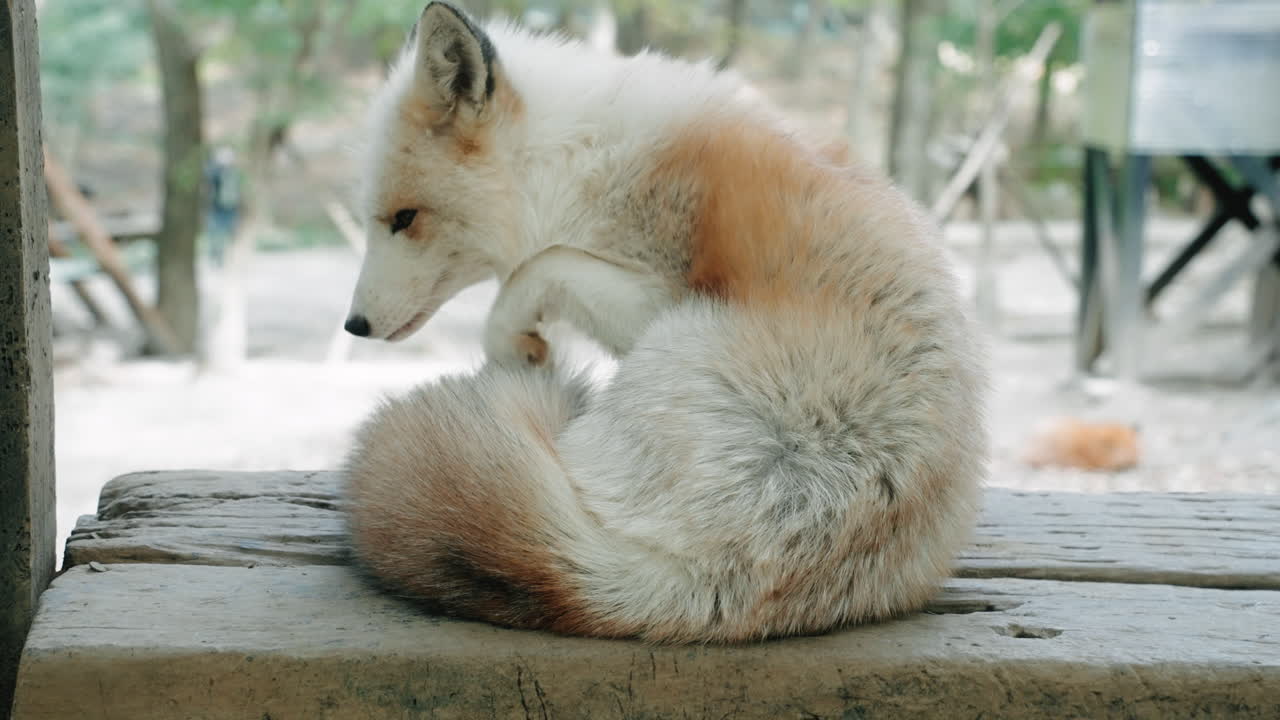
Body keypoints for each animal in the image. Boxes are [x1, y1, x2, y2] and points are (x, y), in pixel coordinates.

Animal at [340, 1, 988, 644]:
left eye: (404, 218)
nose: (355, 326)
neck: (578, 161)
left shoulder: (654, 294)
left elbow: (540, 266)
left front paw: (512, 345)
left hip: (671, 340)